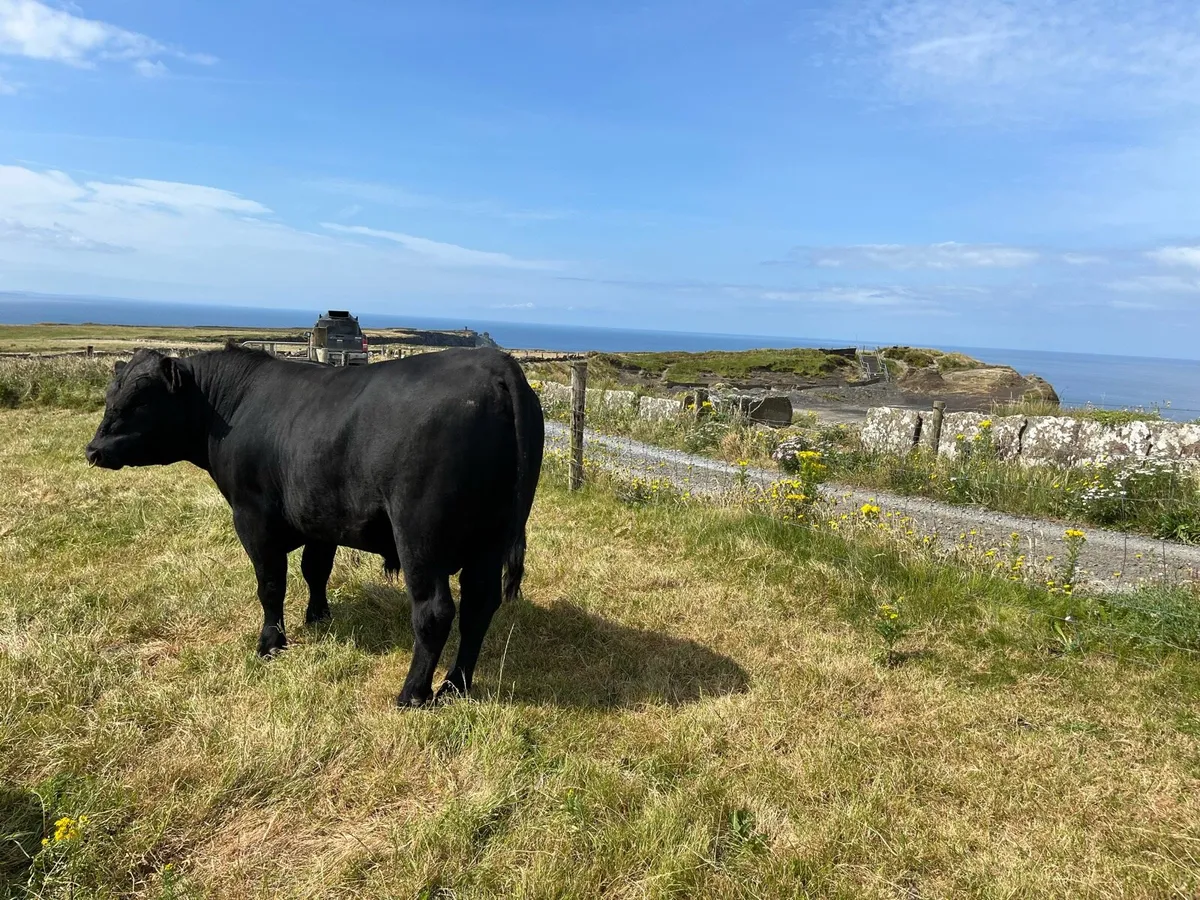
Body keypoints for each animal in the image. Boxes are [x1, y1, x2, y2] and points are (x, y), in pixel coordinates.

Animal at [84, 343, 544, 707]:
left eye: (142, 399)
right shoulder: (322, 518)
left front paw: (270, 644)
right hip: (490, 541)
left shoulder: (253, 518)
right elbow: (315, 569)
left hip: (420, 538)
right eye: (111, 394)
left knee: (434, 612)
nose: (93, 450)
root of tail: (495, 362)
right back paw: (454, 685)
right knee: (478, 607)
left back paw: (413, 693)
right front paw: (318, 616)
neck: (233, 407)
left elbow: (271, 584)